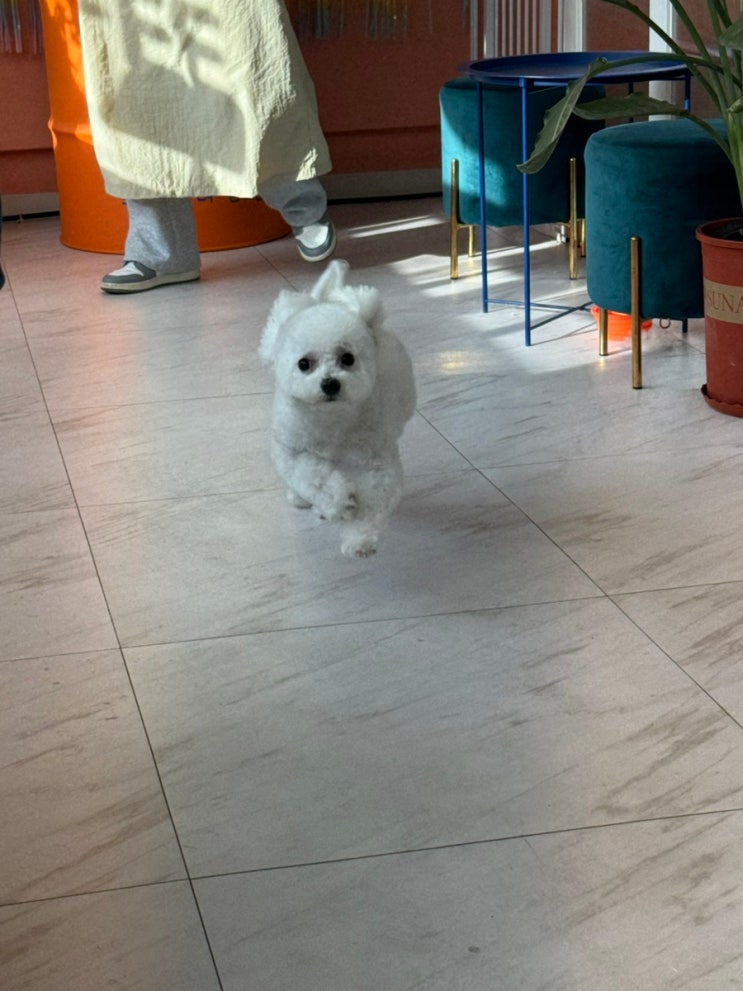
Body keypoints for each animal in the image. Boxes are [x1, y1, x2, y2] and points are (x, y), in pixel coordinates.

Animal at [259, 260, 416, 558]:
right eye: (304, 364)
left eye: (348, 358)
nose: (330, 383)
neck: (331, 420)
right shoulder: (293, 450)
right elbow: (312, 476)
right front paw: (339, 502)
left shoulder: (375, 460)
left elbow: (374, 497)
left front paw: (360, 539)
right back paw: (302, 498)